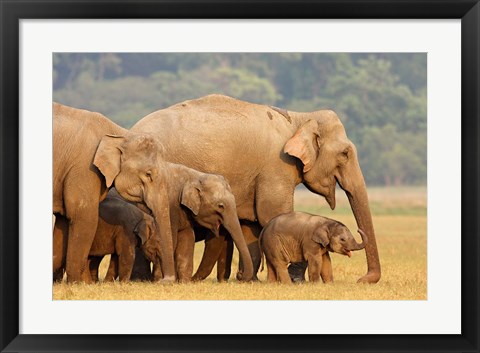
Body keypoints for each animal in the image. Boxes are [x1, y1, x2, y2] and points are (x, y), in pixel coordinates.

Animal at [53, 102, 176, 280]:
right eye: (148, 174)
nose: (166, 281)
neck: (121, 134)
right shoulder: (84, 169)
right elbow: (83, 216)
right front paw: (76, 283)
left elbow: (63, 221)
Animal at [129, 93, 380, 284]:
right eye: (345, 154)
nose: (363, 279)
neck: (298, 118)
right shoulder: (276, 166)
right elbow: (273, 213)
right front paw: (295, 280)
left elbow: (251, 223)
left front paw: (250, 280)